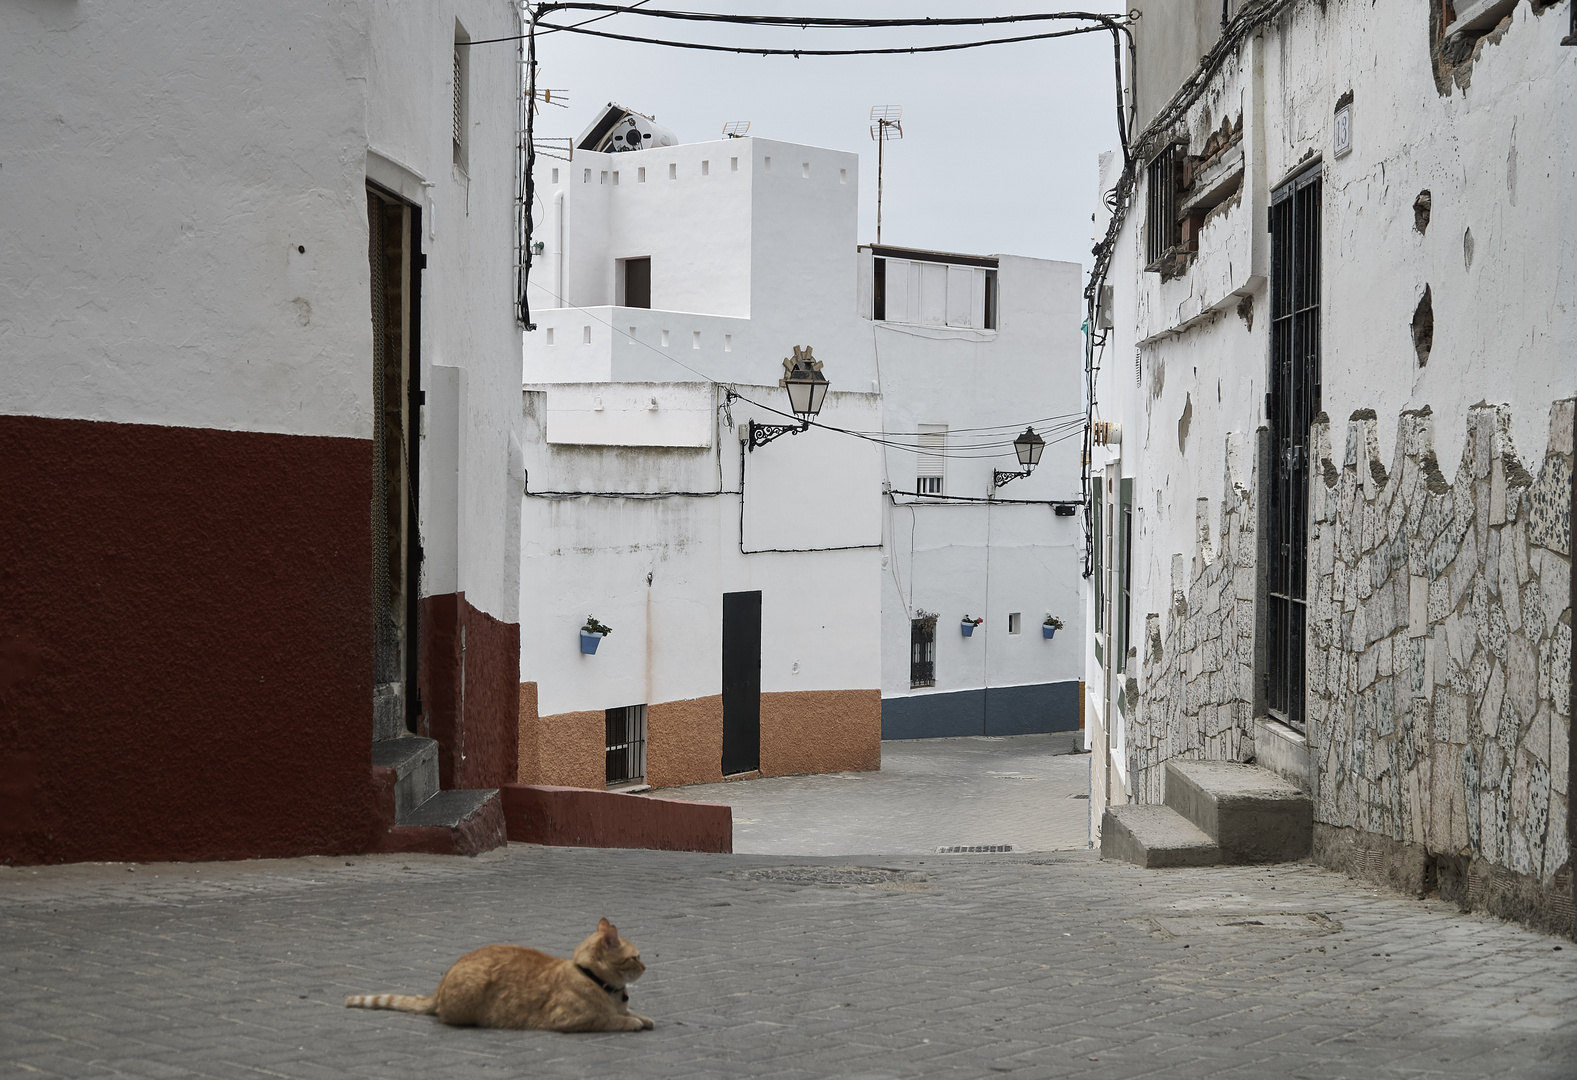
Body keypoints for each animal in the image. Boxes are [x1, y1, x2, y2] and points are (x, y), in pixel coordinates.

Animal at [346, 914, 652, 1034]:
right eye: (635, 957)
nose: (645, 967)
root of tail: (440, 985)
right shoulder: (570, 1021)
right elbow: (610, 1019)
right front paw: (631, 1022)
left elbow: (630, 1012)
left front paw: (642, 1017)